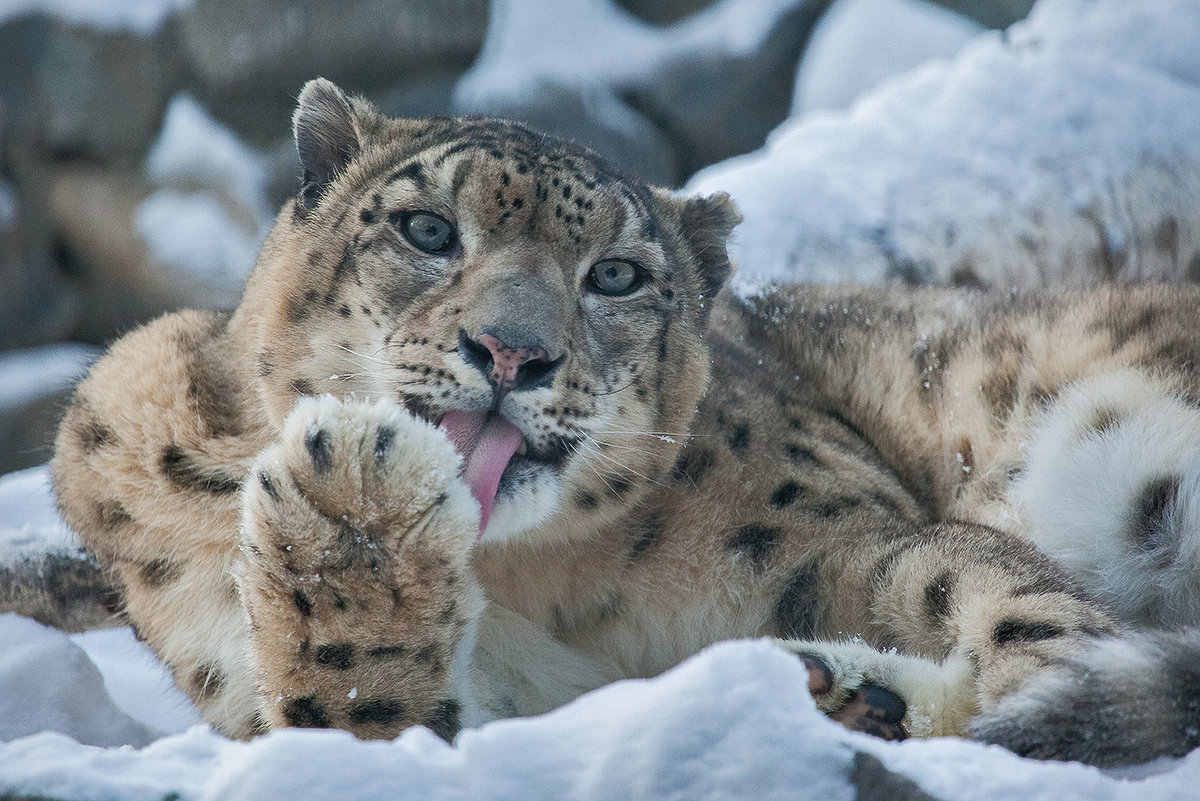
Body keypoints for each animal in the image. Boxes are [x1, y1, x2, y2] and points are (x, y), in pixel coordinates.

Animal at [21, 77, 1200, 767]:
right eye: (427, 229)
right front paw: (357, 513)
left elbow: (994, 595)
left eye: (619, 275)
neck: (542, 586)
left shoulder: (848, 536)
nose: (511, 352)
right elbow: (358, 713)